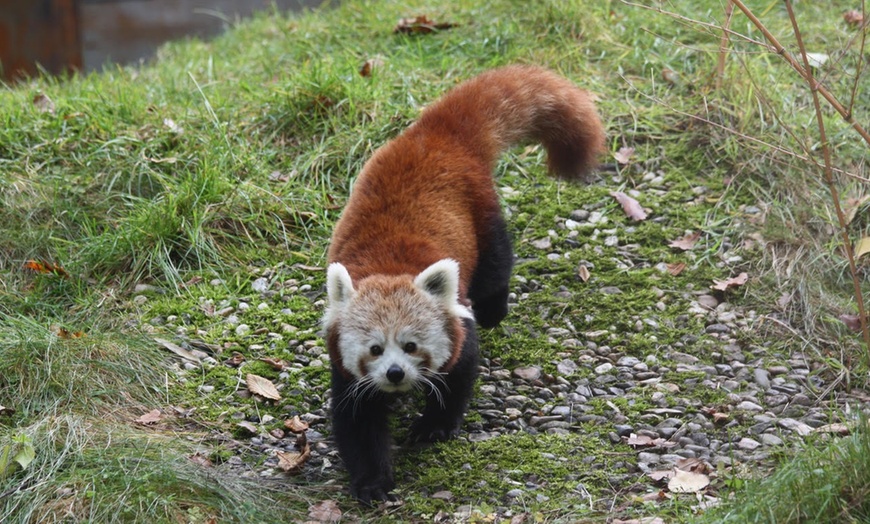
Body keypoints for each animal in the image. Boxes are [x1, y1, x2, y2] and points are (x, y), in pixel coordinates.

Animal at [322, 65, 608, 504]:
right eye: (374, 349)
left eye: (411, 346)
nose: (395, 374)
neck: (388, 268)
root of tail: (432, 134)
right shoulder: (346, 371)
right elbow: (358, 423)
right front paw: (372, 481)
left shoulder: (456, 324)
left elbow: (459, 375)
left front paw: (433, 426)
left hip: (481, 212)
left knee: (495, 266)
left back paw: (494, 309)